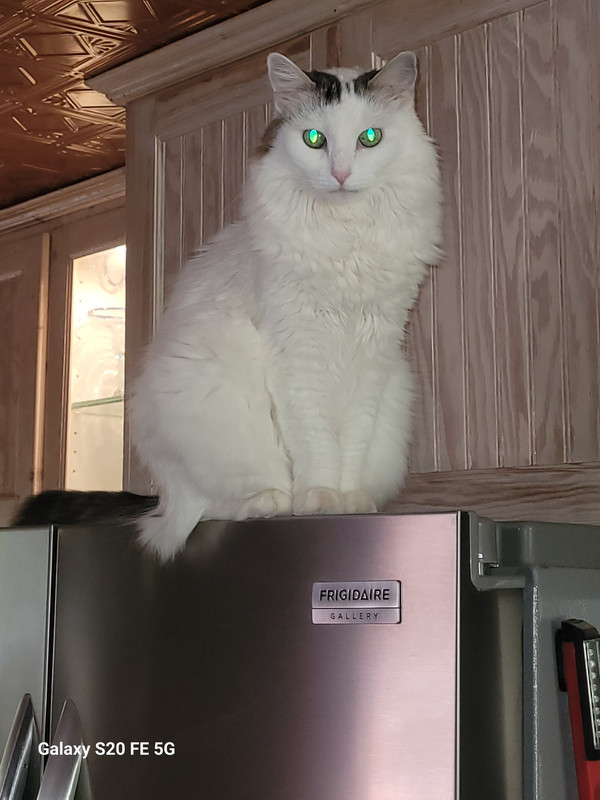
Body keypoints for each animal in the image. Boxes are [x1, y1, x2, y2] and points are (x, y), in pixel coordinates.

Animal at [14, 51, 442, 561]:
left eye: (369, 139)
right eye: (314, 139)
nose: (340, 174)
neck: (345, 239)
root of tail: (160, 495)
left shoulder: (375, 350)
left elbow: (351, 439)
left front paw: (348, 498)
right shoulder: (297, 354)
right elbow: (316, 440)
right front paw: (319, 498)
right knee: (200, 511)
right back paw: (272, 502)